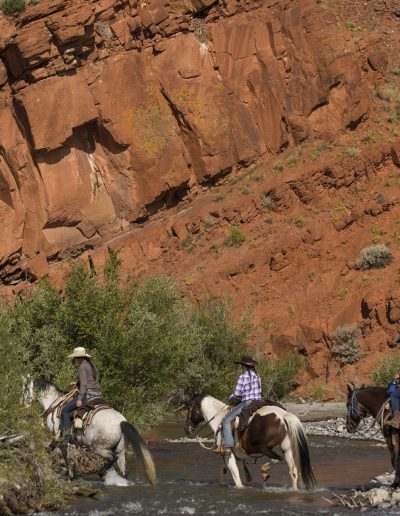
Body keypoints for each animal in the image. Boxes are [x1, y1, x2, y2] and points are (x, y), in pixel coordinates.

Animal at [184, 398, 316, 490]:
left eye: (189, 409)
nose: (187, 429)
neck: (219, 420)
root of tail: (283, 415)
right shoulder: (231, 456)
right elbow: (223, 471)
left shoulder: (228, 454)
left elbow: (236, 477)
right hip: (286, 448)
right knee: (293, 471)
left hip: (261, 447)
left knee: (277, 458)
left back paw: (264, 471)